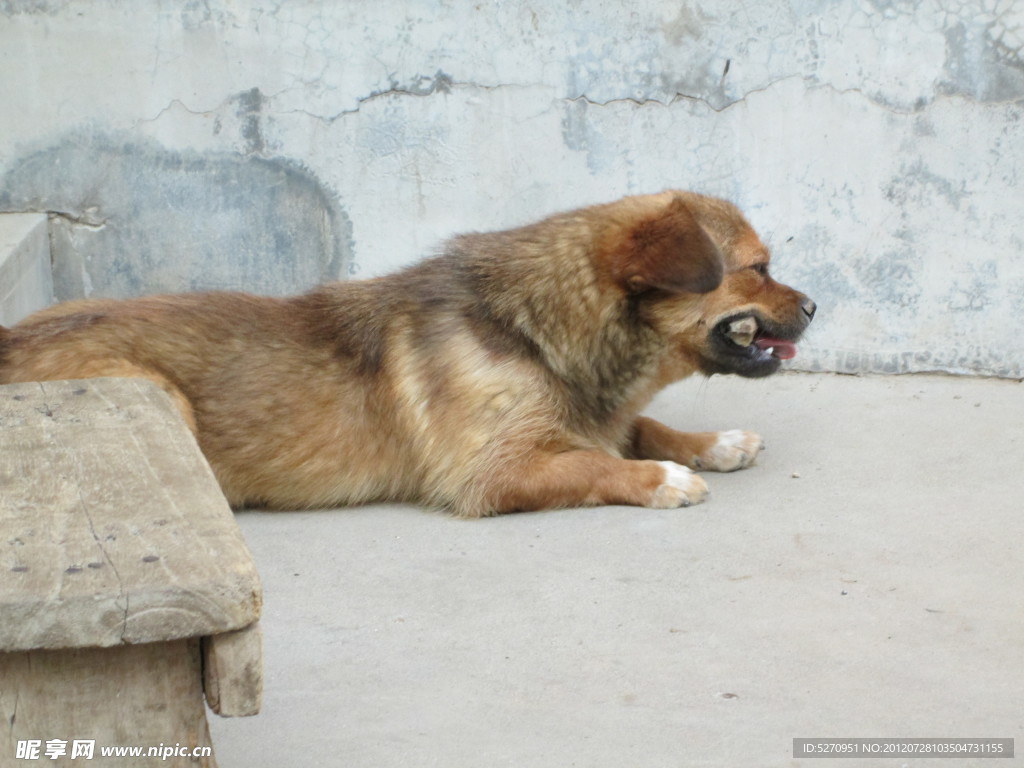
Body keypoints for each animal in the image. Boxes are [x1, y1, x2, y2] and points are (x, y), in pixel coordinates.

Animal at [0, 191, 815, 518]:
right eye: (759, 267)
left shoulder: (587, 413)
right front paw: (659, 478)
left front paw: (711, 441)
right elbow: (594, 462)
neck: (530, 327)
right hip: (152, 394)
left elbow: (635, 426)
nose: (813, 308)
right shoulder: (490, 475)